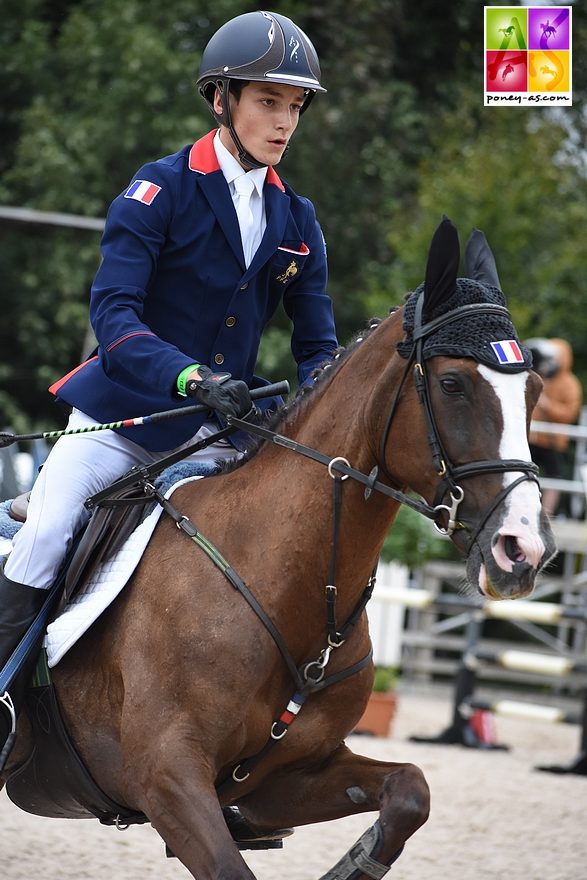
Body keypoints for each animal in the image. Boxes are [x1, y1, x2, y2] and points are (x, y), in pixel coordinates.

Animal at [1, 220, 556, 880]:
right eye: (452, 384)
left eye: (535, 389)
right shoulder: (168, 778)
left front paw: (356, 862)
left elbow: (410, 790)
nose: (523, 549)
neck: (286, 583)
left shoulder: (277, 780)